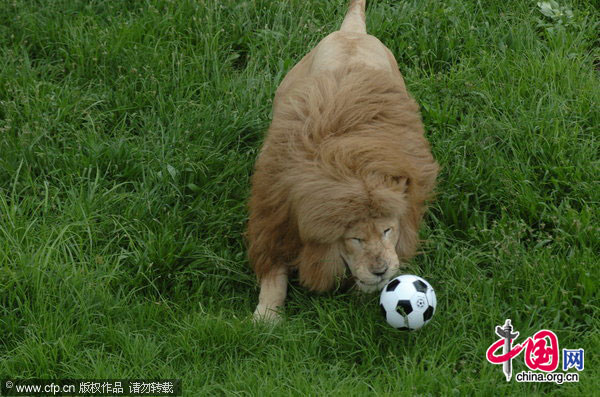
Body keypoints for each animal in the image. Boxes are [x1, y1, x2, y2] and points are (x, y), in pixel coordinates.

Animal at [246, 0, 438, 320]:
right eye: (355, 239)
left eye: (387, 230)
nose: (380, 270)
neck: (351, 168)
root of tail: (353, 32)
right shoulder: (274, 220)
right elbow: (273, 277)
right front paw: (266, 318)